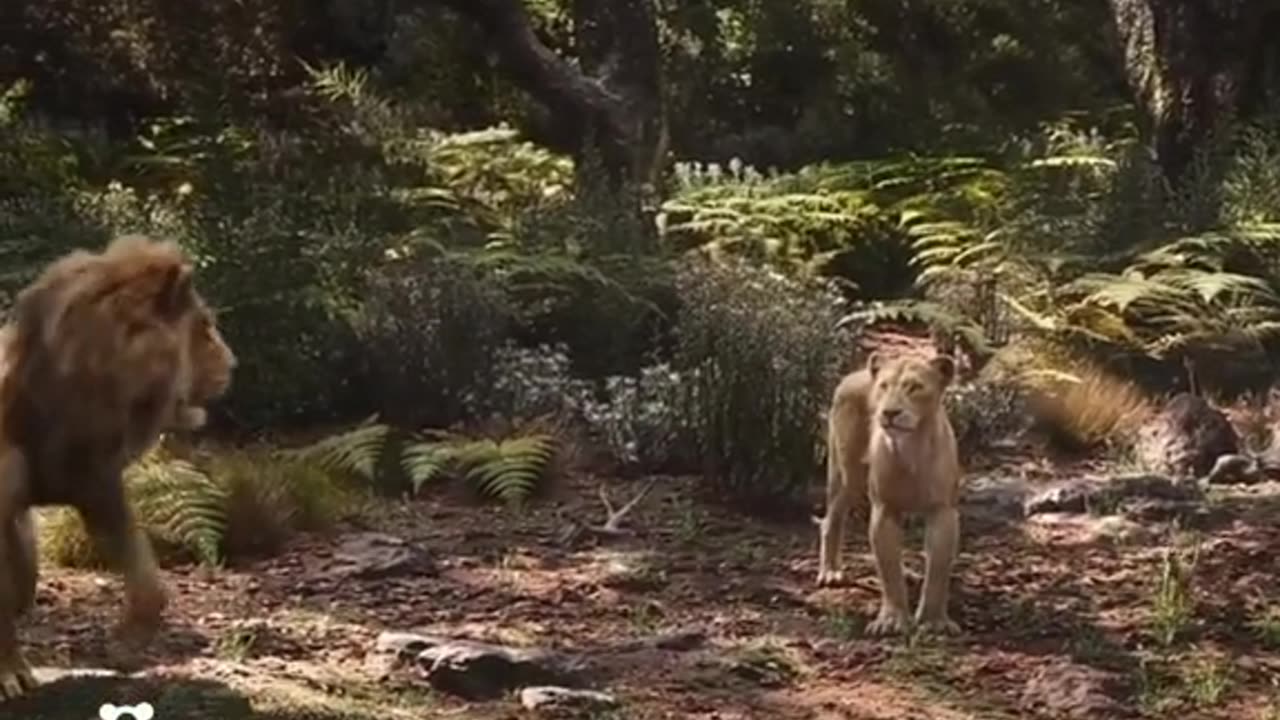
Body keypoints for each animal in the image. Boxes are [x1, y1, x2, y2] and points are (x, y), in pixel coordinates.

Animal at [0, 233, 235, 699]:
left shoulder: (98, 481)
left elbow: (148, 581)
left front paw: (125, 649)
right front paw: (10, 674)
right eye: (203, 327)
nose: (233, 365)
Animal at [815, 350, 963, 636]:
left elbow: (938, 569)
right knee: (831, 520)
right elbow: (888, 570)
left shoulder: (942, 511)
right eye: (883, 386)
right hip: (846, 475)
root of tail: (855, 373)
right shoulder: (884, 509)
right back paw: (830, 572)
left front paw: (933, 621)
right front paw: (892, 620)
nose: (890, 412)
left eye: (915, 387)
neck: (910, 449)